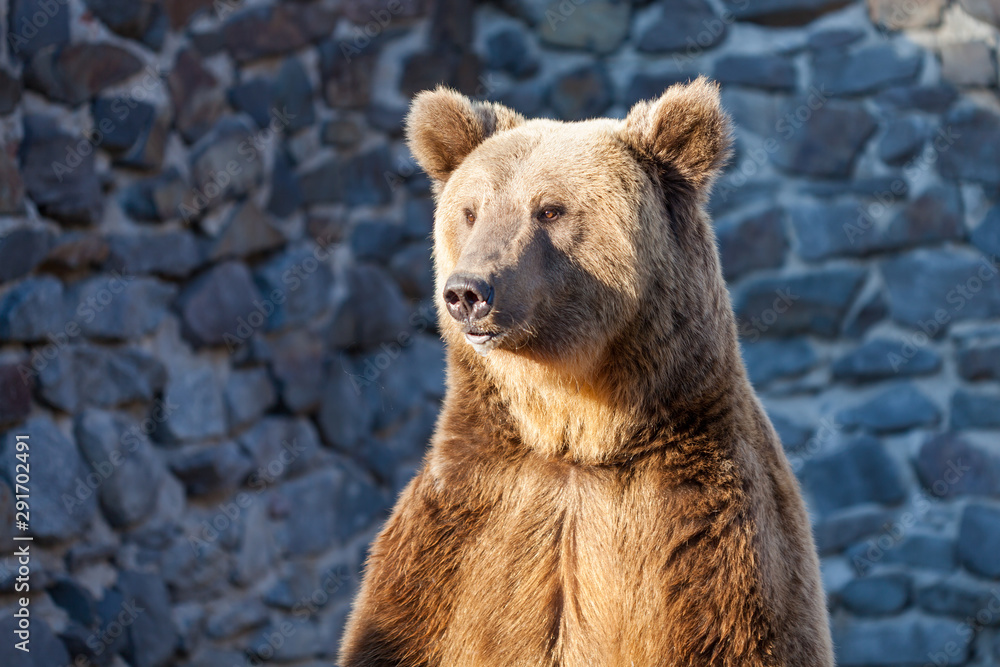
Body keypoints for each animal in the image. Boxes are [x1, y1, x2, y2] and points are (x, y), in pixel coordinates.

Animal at [338, 78, 834, 667]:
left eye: (549, 210)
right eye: (470, 210)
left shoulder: (707, 538)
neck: (575, 430)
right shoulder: (456, 537)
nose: (466, 291)